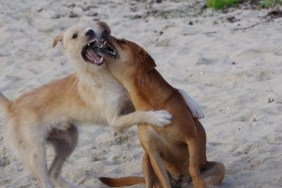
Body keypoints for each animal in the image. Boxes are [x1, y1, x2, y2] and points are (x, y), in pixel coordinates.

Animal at [0, 22, 204, 188]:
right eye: (75, 35)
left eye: (91, 26)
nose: (94, 32)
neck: (106, 75)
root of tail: (12, 105)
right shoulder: (116, 119)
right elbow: (138, 114)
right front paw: (158, 117)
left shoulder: (129, 102)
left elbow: (178, 89)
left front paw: (195, 106)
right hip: (36, 154)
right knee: (44, 178)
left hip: (68, 140)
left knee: (54, 173)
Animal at [91, 22, 226, 187]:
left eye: (123, 41)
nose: (103, 31)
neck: (149, 105)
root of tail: (182, 184)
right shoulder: (153, 153)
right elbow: (164, 178)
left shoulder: (191, 139)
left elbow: (193, 168)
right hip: (145, 159)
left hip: (218, 168)